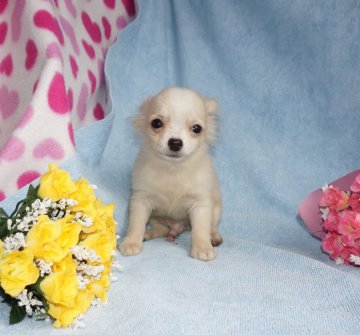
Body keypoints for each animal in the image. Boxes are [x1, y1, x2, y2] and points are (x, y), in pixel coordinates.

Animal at [117, 88, 222, 262]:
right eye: (156, 123)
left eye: (197, 128)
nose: (175, 142)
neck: (173, 169)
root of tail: (176, 229)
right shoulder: (140, 200)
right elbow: (136, 224)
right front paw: (131, 243)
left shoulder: (200, 204)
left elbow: (200, 229)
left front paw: (202, 248)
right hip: (156, 218)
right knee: (162, 230)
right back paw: (148, 233)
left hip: (215, 212)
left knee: (210, 227)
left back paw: (214, 237)